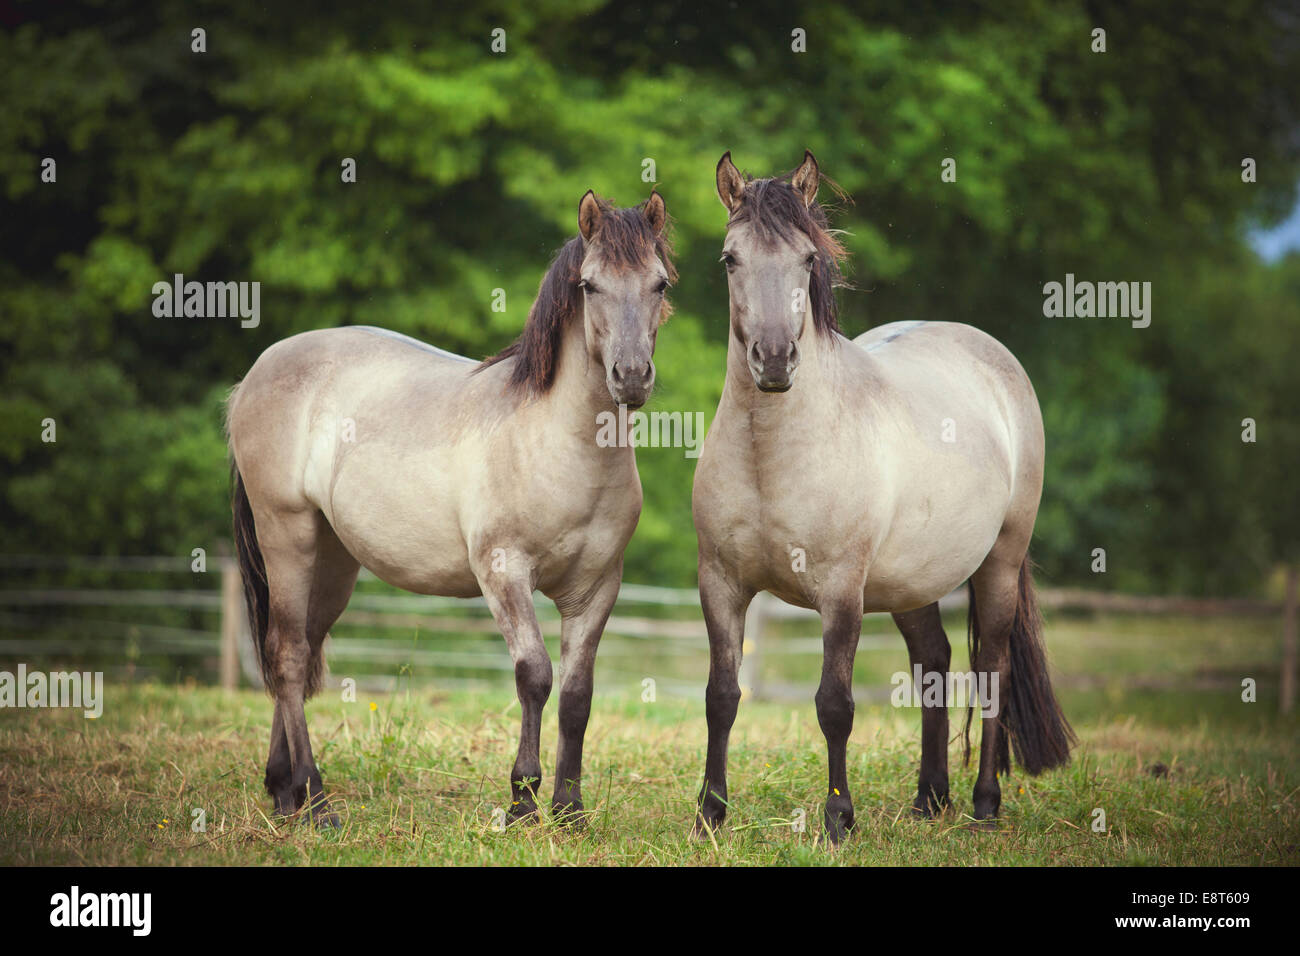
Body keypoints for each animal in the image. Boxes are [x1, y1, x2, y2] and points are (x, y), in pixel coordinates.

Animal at [224, 191, 676, 827]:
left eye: (659, 283)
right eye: (589, 286)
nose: (631, 377)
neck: (559, 444)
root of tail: (256, 374)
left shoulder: (596, 588)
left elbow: (577, 694)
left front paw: (569, 810)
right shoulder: (503, 572)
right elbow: (534, 676)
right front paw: (522, 799)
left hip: (332, 559)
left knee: (301, 647)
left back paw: (283, 790)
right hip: (286, 535)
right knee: (286, 655)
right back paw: (316, 801)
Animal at [696, 155, 1071, 842]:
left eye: (807, 260)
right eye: (730, 258)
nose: (774, 360)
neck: (772, 456)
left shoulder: (841, 591)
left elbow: (835, 705)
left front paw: (838, 819)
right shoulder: (721, 584)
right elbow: (722, 697)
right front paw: (710, 814)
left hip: (1000, 562)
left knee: (991, 668)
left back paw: (983, 805)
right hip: (911, 583)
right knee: (933, 663)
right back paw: (930, 798)